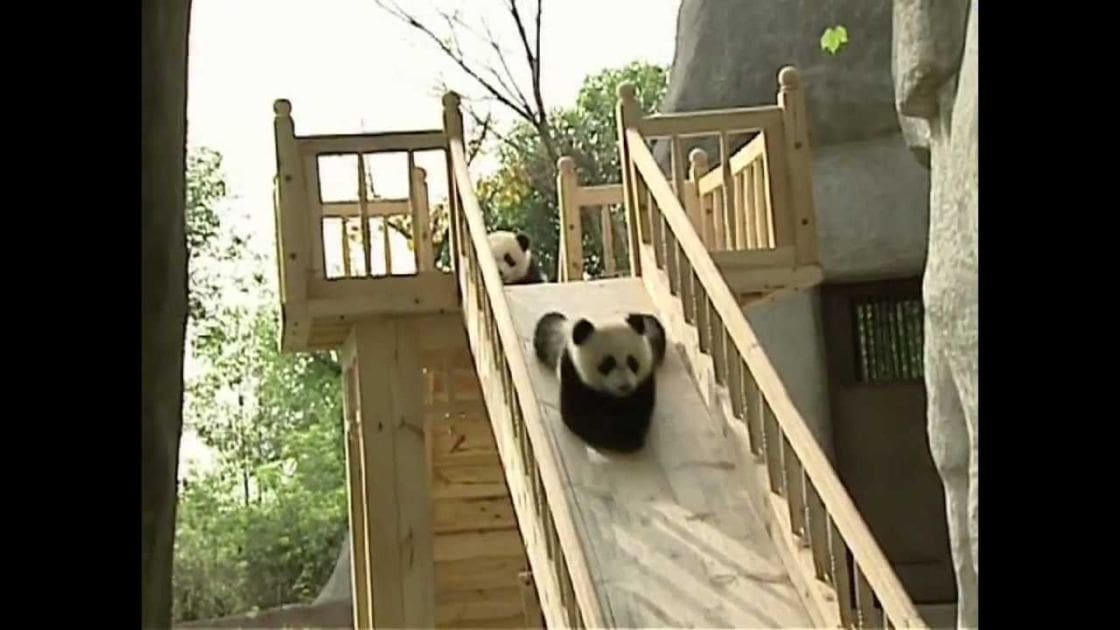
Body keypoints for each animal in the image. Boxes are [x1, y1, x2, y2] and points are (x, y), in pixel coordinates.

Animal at [533, 311, 667, 453]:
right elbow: (580, 415)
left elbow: (639, 410)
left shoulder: (645, 379)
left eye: (632, 362)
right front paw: (620, 437)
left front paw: (629, 432)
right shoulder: (572, 371)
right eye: (607, 364)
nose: (625, 386)